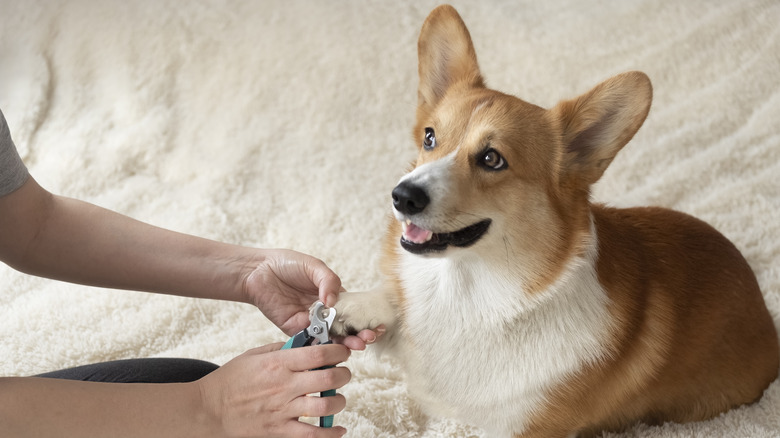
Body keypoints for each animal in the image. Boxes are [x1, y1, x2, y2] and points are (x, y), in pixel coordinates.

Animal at [332, 4, 776, 438]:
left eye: (492, 158)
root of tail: (761, 306)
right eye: (429, 137)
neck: (468, 293)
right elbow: (390, 298)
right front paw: (354, 306)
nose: (402, 196)